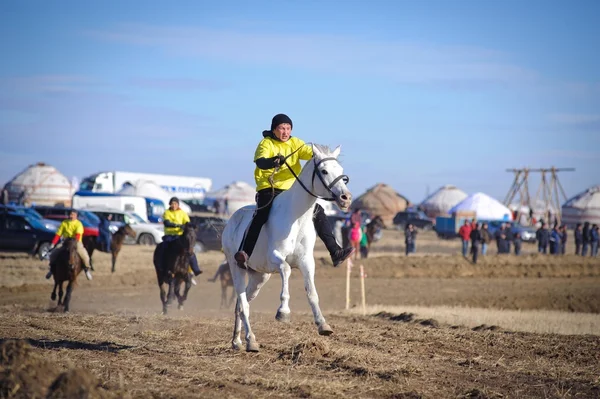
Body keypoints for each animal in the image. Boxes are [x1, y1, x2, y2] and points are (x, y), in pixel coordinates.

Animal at [220, 145, 352, 354]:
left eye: (340, 170)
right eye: (324, 171)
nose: (345, 198)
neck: (296, 218)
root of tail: (231, 220)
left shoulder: (306, 262)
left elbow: (312, 293)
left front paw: (323, 324)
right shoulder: (276, 258)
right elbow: (287, 270)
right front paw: (283, 312)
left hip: (259, 277)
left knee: (241, 306)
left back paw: (238, 341)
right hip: (236, 269)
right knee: (243, 304)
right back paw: (251, 341)